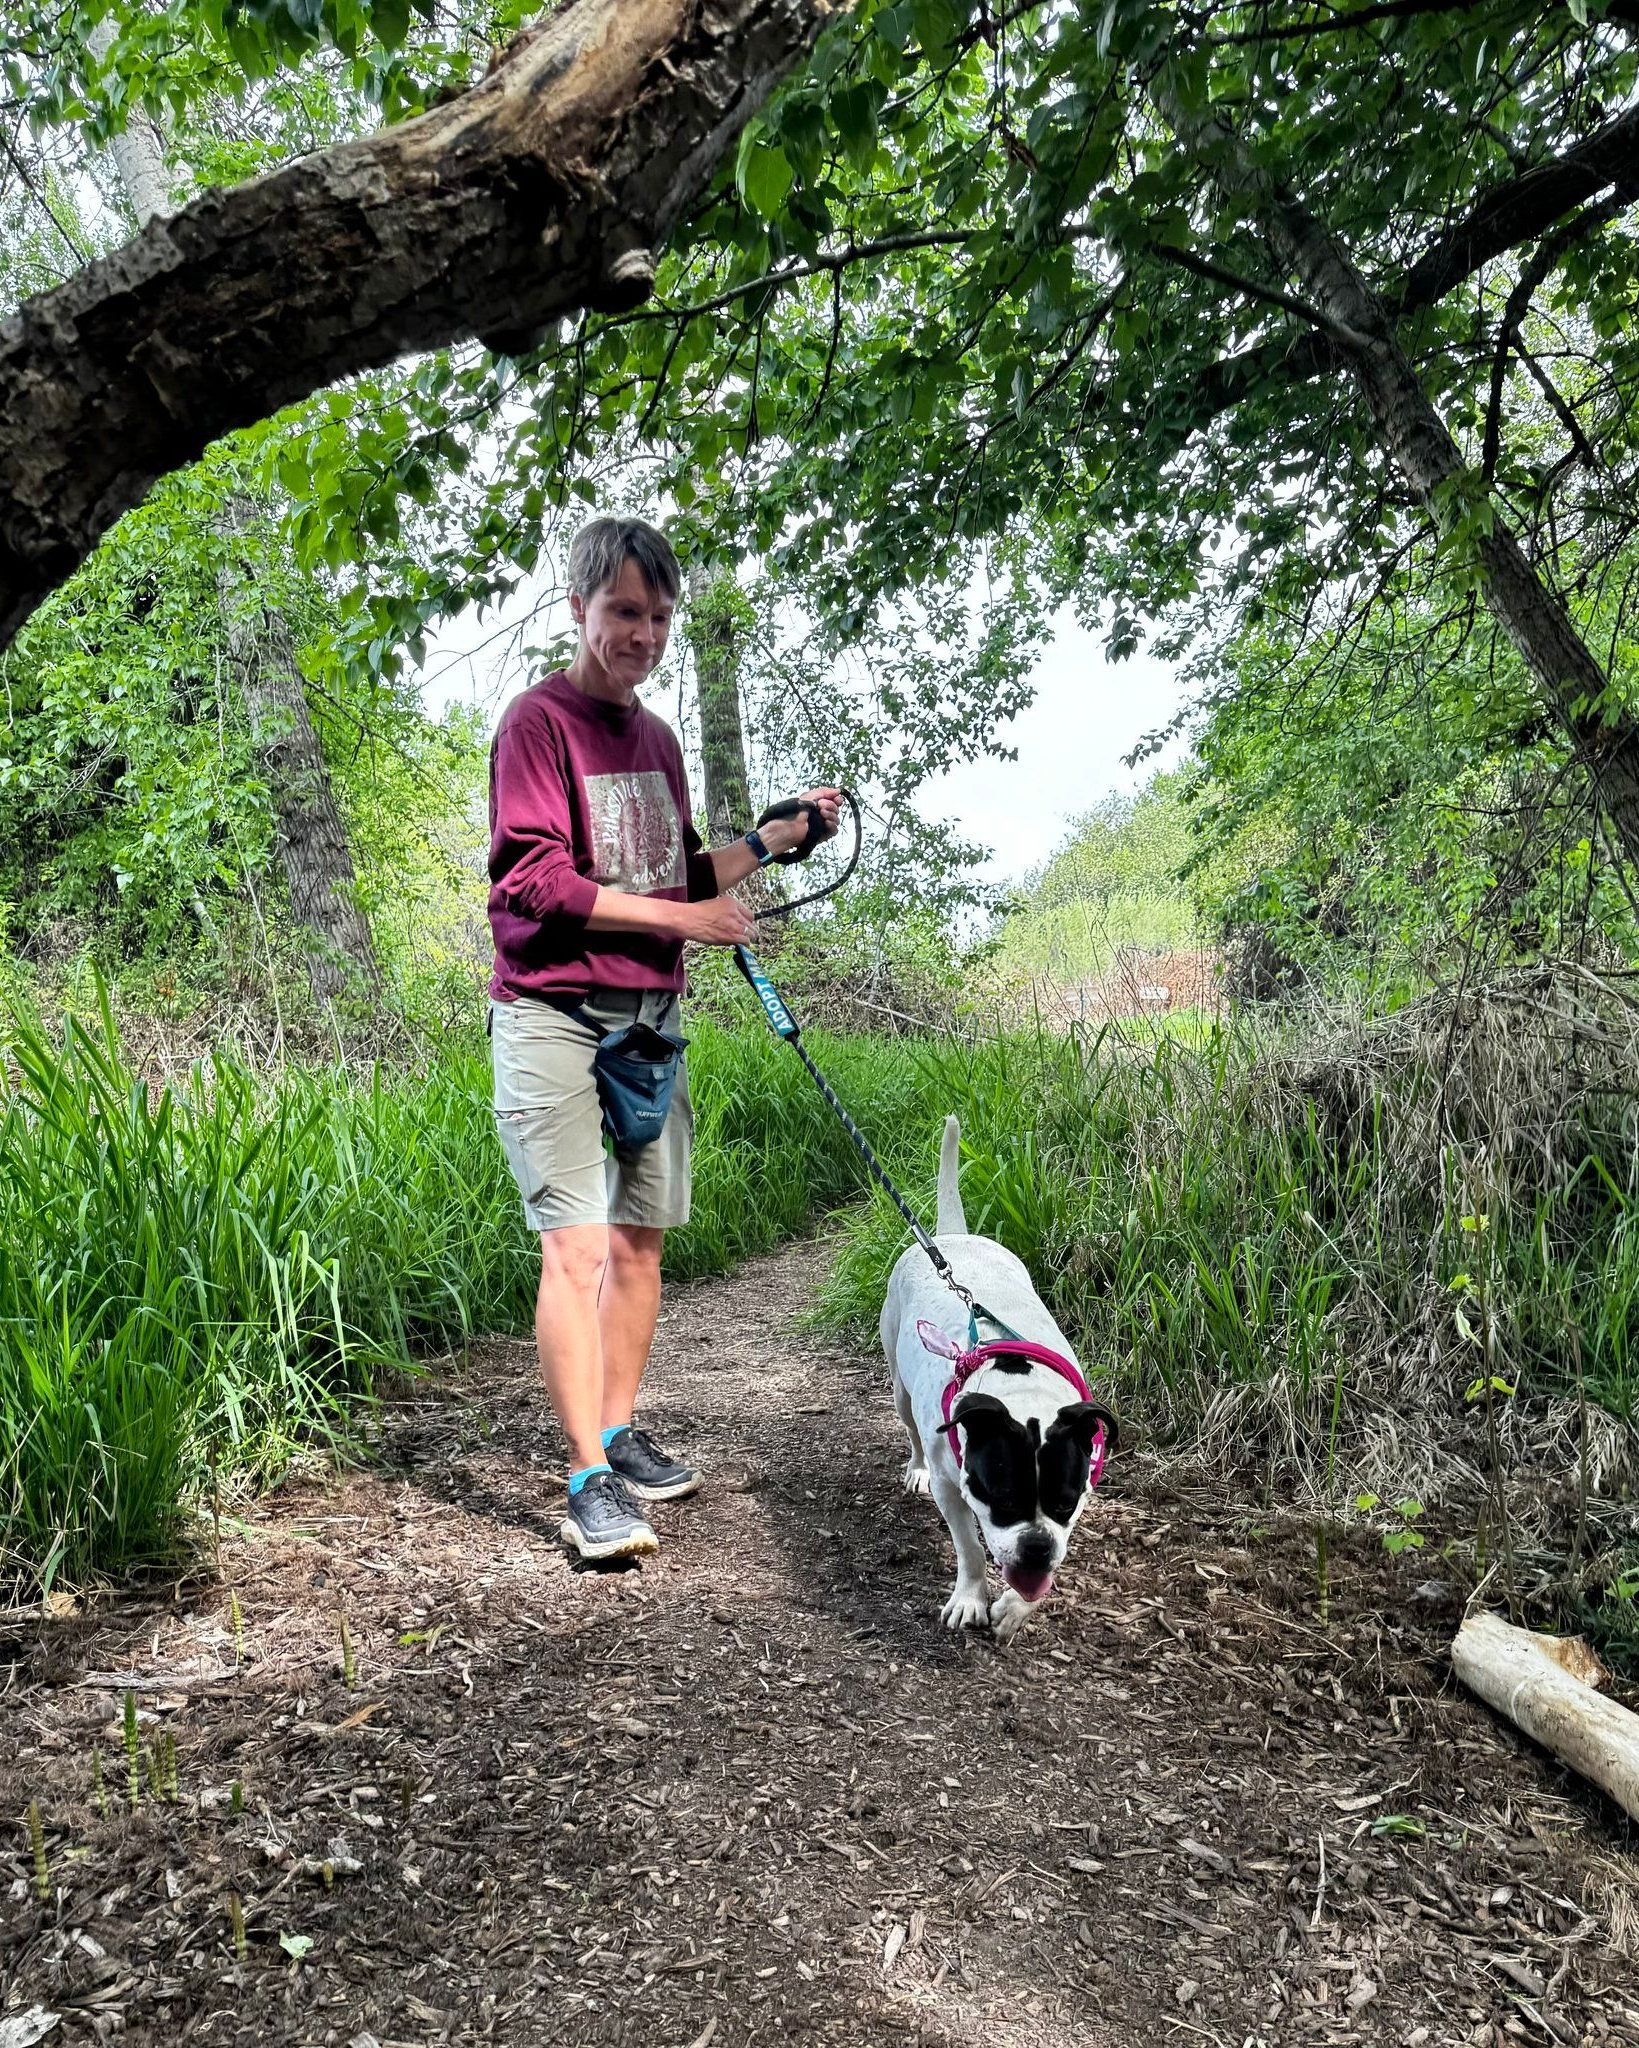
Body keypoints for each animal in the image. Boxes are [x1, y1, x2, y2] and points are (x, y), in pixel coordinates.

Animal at [885, 1114, 1114, 1638]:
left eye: (1065, 1503)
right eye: (1004, 1501)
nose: (1036, 1546)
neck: (1017, 1385)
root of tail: (949, 1239)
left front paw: (1015, 1608)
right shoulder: (952, 1490)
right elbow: (969, 1547)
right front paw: (970, 1597)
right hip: (901, 1387)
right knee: (910, 1430)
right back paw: (914, 1468)